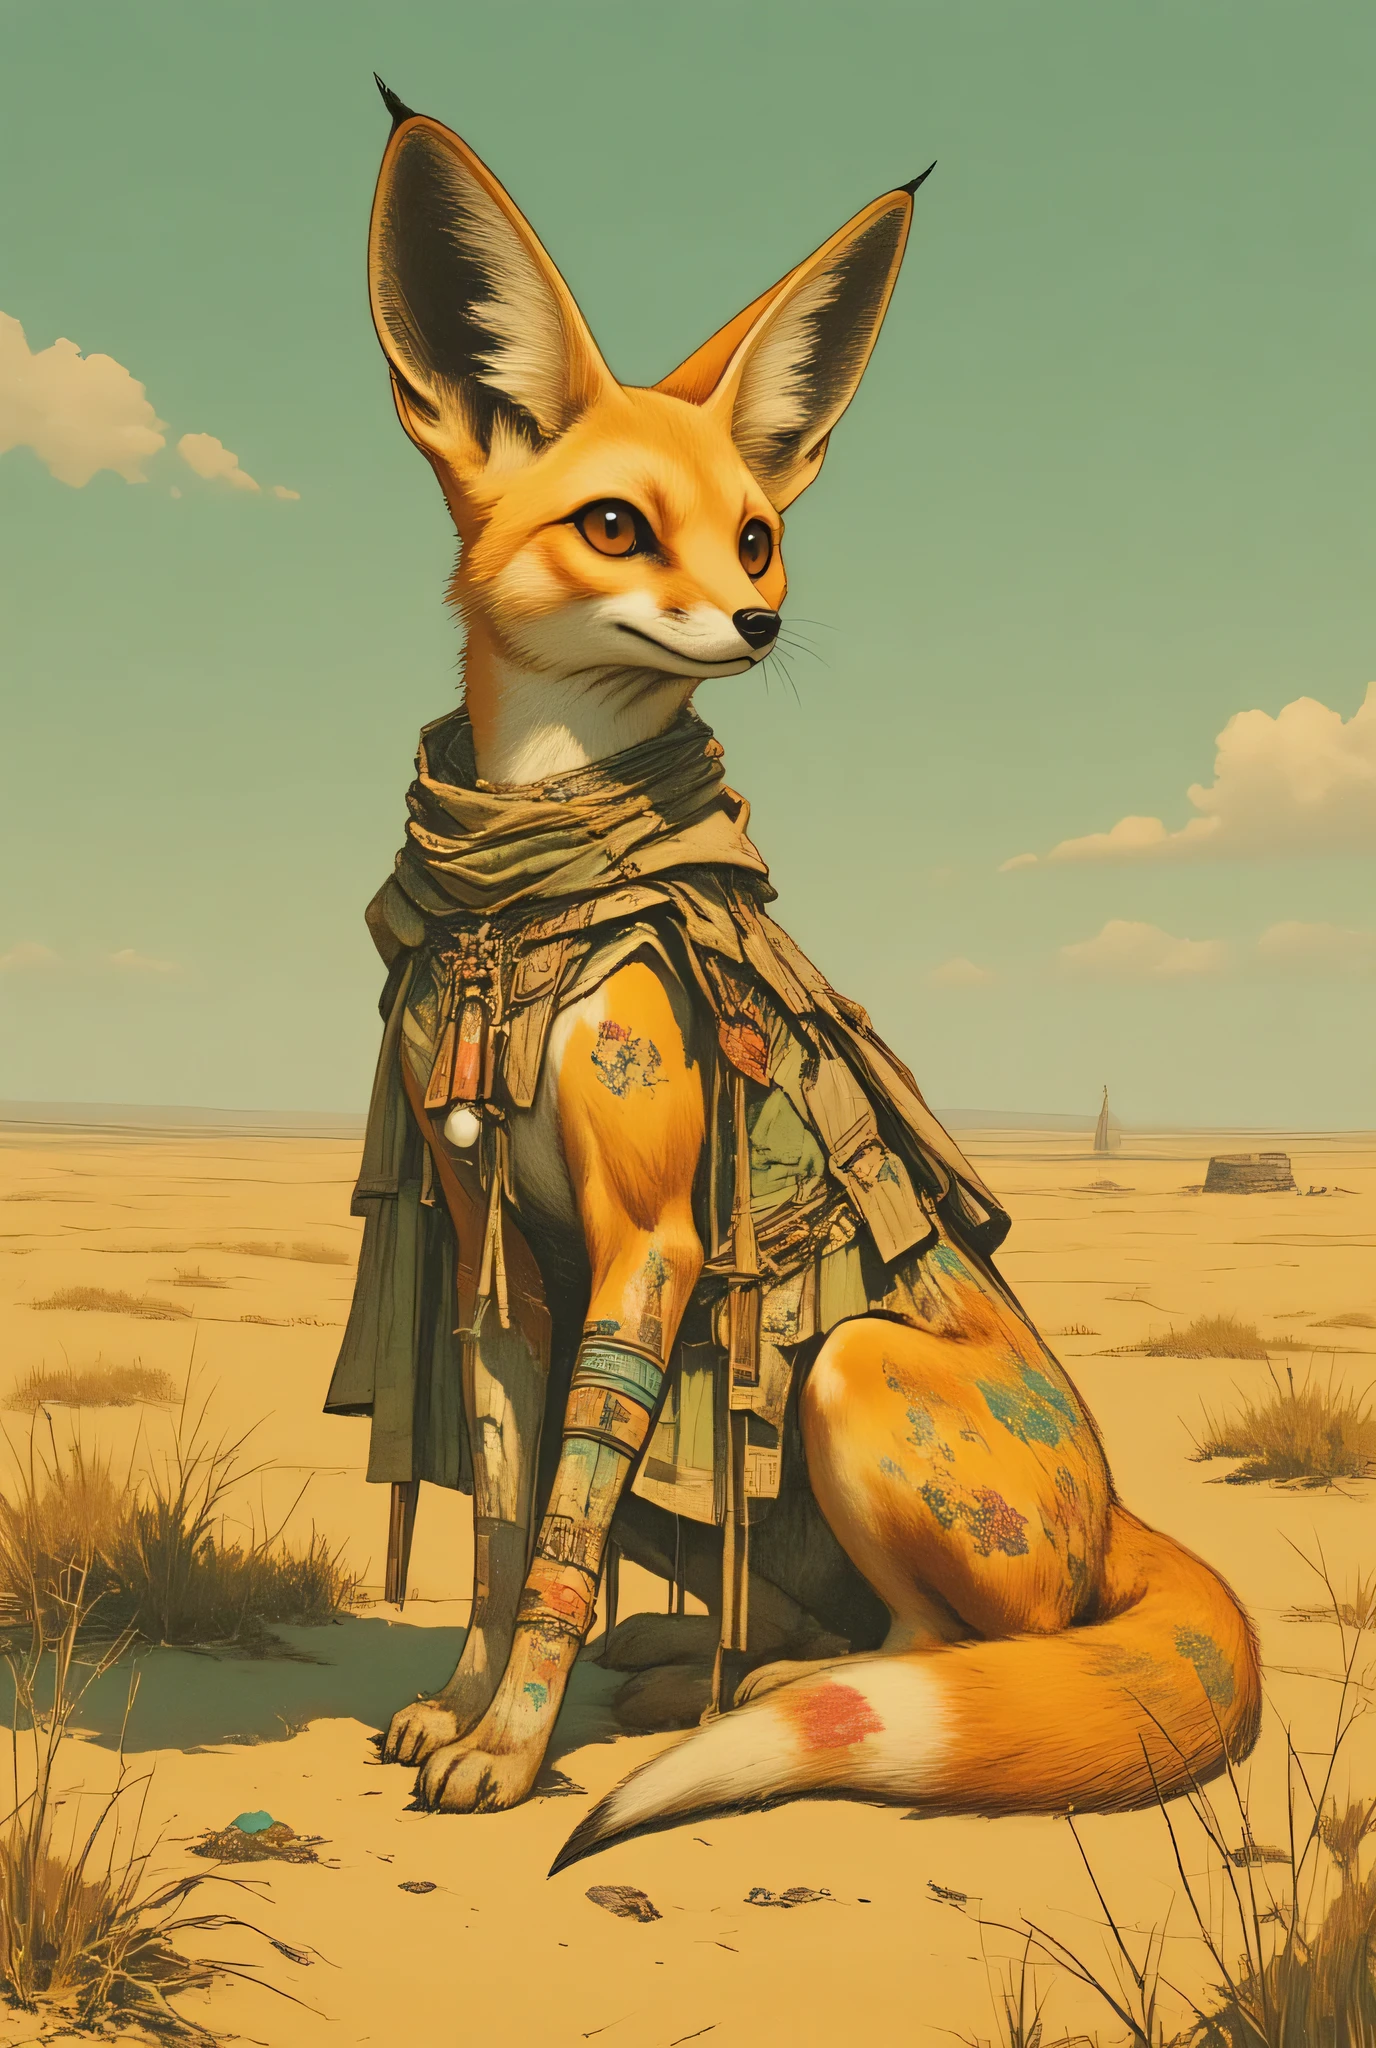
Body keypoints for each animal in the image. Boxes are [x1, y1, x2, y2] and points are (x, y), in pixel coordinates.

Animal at [353, 80, 1261, 1873]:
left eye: (759, 534)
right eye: (615, 524)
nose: (759, 621)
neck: (523, 904)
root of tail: (1119, 1506)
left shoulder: (647, 1243)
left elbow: (561, 1526)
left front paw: (511, 1749)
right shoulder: (497, 1247)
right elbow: (499, 1512)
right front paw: (468, 1707)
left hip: (842, 1368)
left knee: (943, 1650)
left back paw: (729, 1695)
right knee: (813, 1622)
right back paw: (674, 1661)